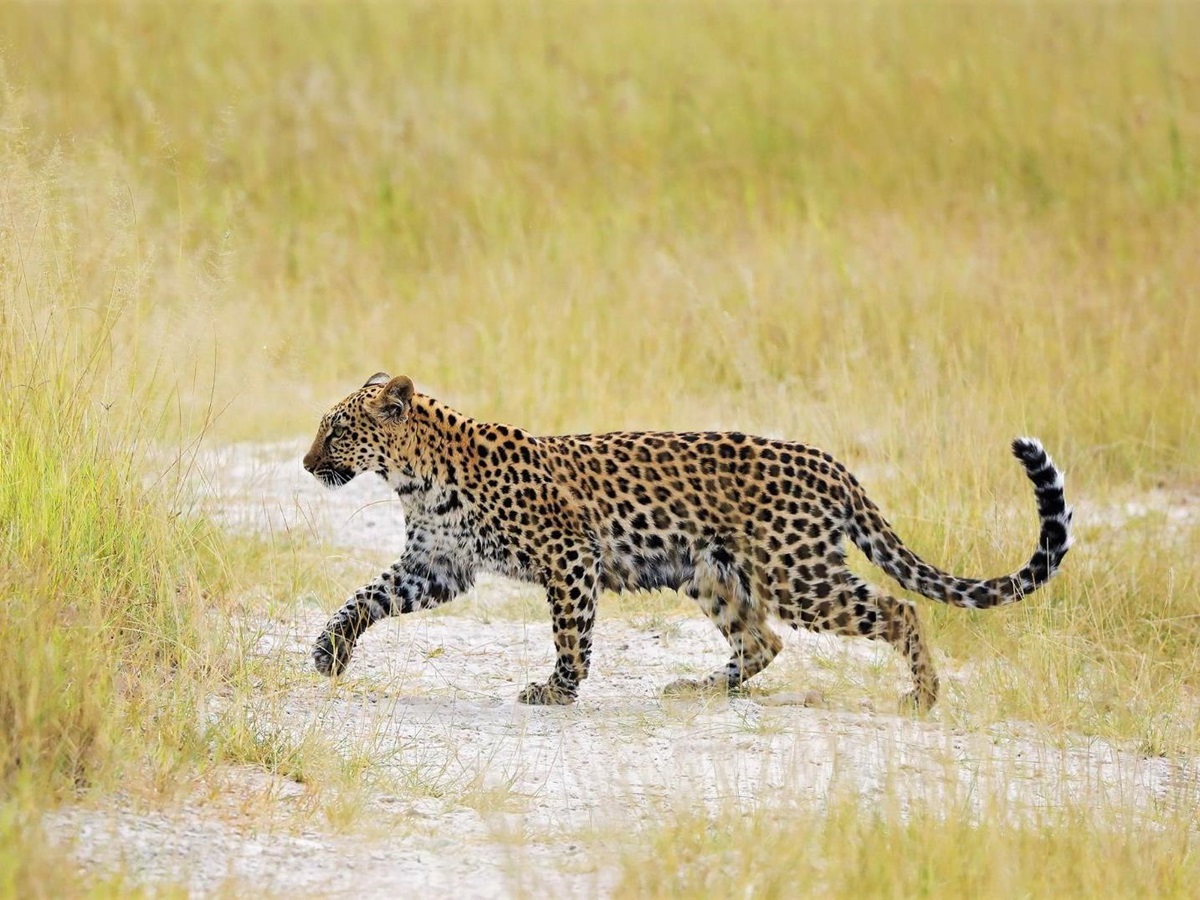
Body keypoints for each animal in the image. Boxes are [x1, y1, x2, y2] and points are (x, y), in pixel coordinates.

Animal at [303, 372, 1073, 711]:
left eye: (336, 429)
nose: (308, 465)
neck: (413, 476)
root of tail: (830, 463)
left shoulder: (568, 555)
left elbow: (571, 632)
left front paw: (558, 689)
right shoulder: (437, 563)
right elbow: (366, 597)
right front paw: (328, 651)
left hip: (796, 573)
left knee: (898, 609)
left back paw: (923, 694)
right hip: (714, 573)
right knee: (763, 641)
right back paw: (697, 687)